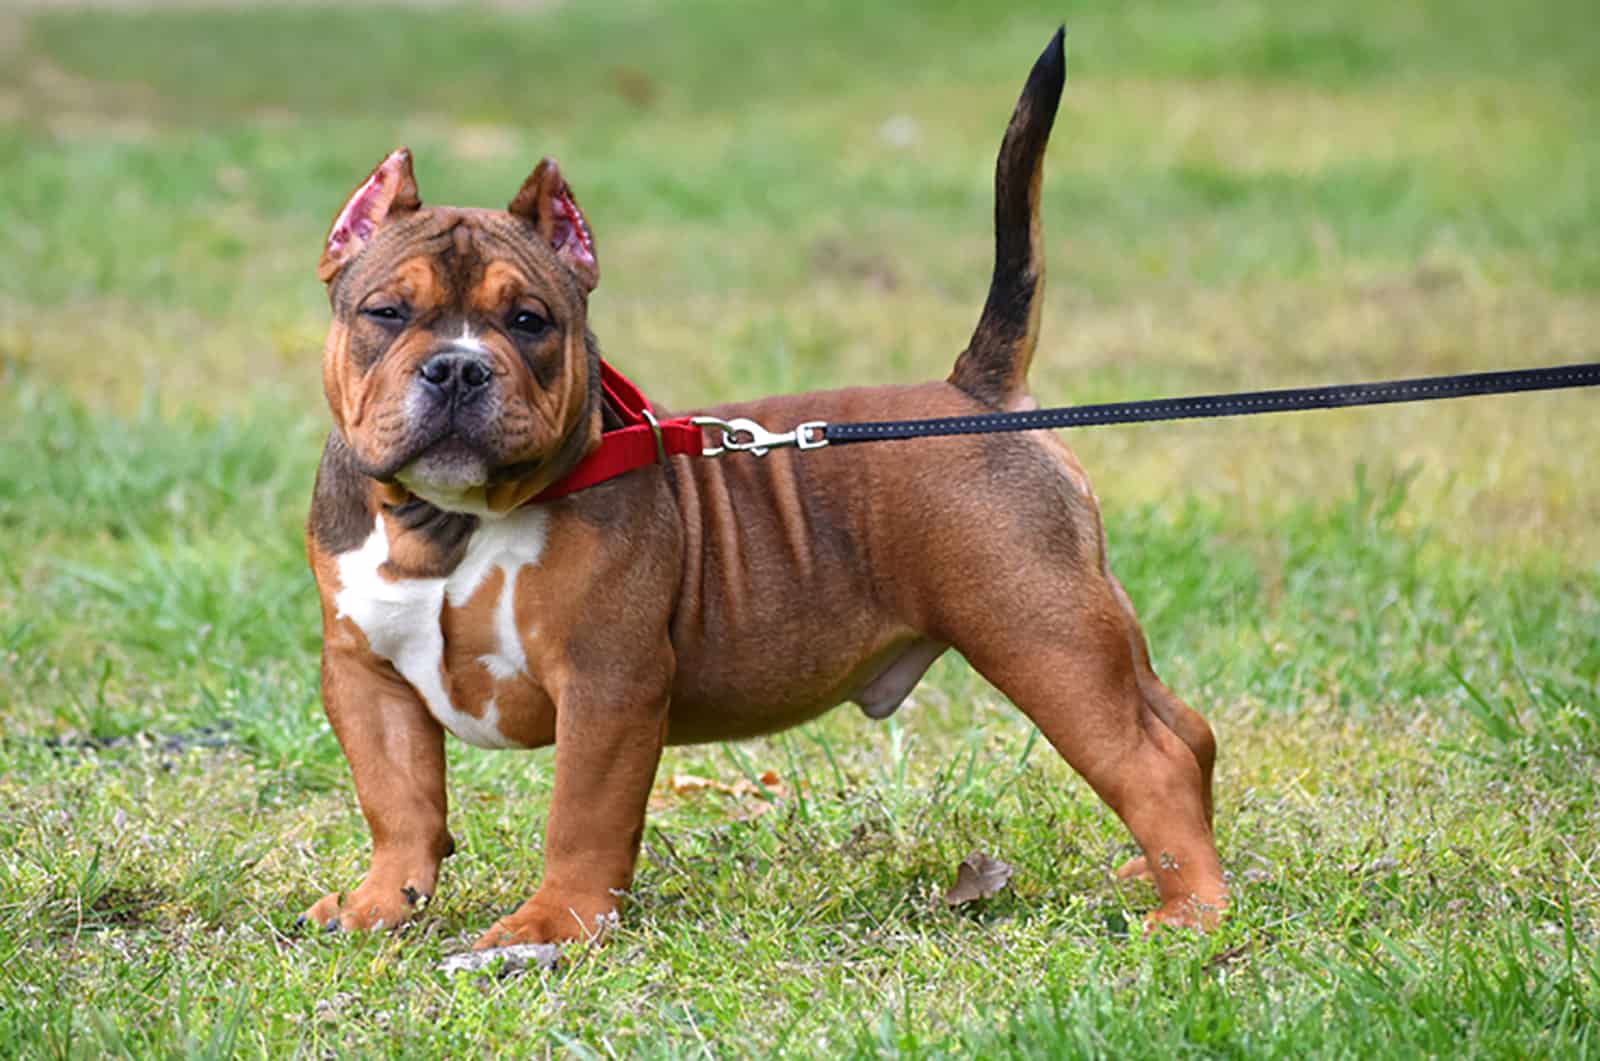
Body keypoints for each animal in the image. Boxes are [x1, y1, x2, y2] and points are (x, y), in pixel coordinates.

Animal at [300, 31, 1222, 947]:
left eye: (529, 322)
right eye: (386, 313)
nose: (457, 367)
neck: (448, 522)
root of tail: (979, 393)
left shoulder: (606, 681)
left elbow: (581, 816)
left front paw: (549, 925)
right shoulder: (365, 674)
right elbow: (399, 802)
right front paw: (378, 904)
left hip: (1040, 633)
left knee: (1151, 759)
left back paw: (1192, 910)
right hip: (1083, 626)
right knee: (1185, 729)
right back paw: (1162, 871)